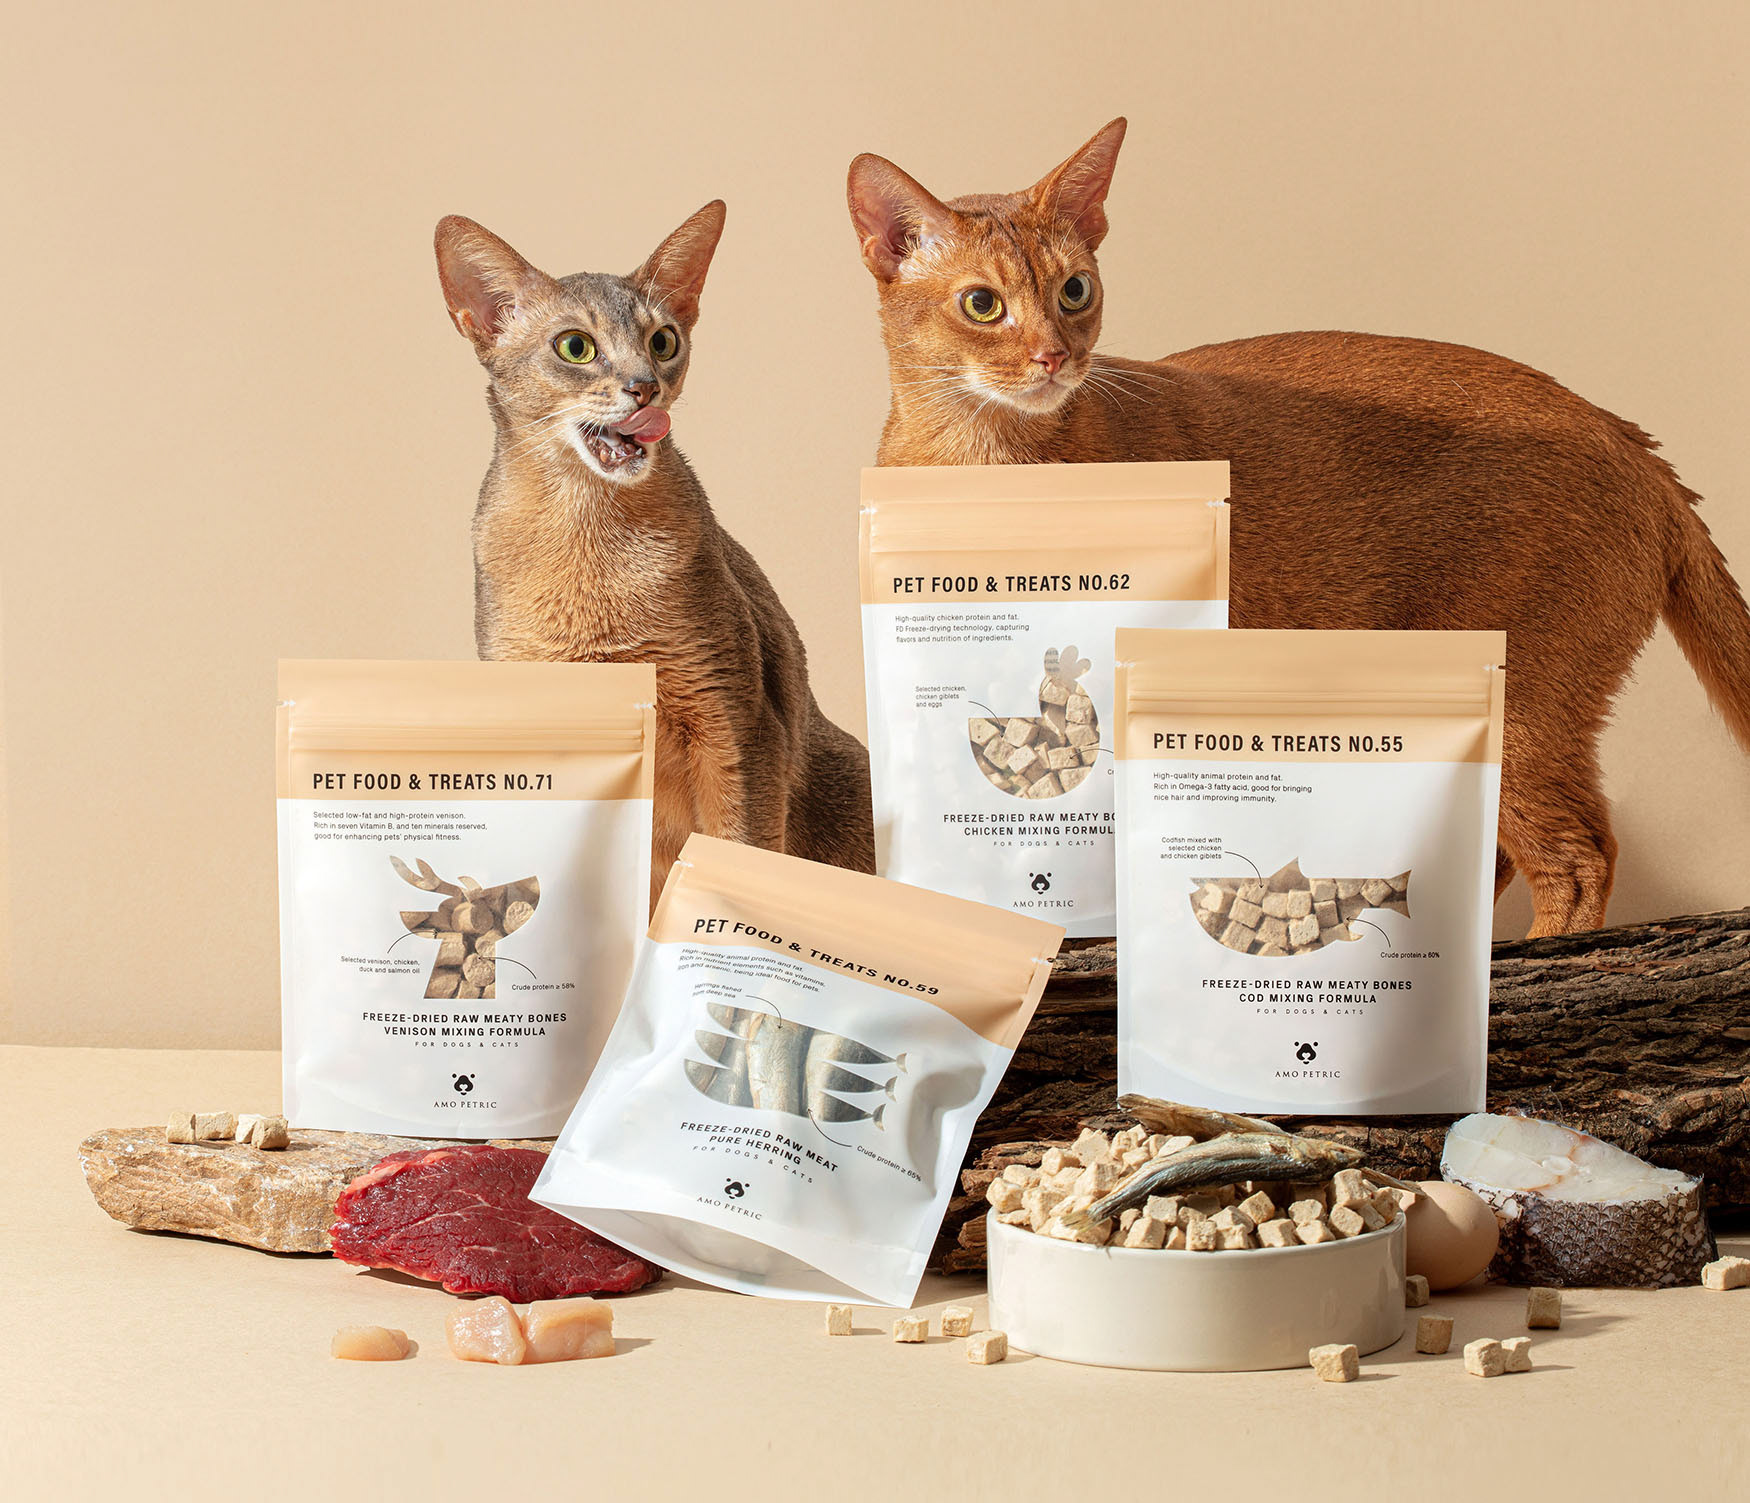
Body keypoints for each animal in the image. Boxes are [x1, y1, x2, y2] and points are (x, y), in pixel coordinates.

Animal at [436, 205, 875, 901]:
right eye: (576, 347)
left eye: (663, 341)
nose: (644, 388)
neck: (588, 536)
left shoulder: (736, 723)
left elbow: (735, 858)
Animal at [847, 119, 1750, 938]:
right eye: (982, 304)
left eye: (1075, 291)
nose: (1052, 357)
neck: (983, 460)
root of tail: (1633, 443)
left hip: (1518, 690)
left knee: (1578, 853)